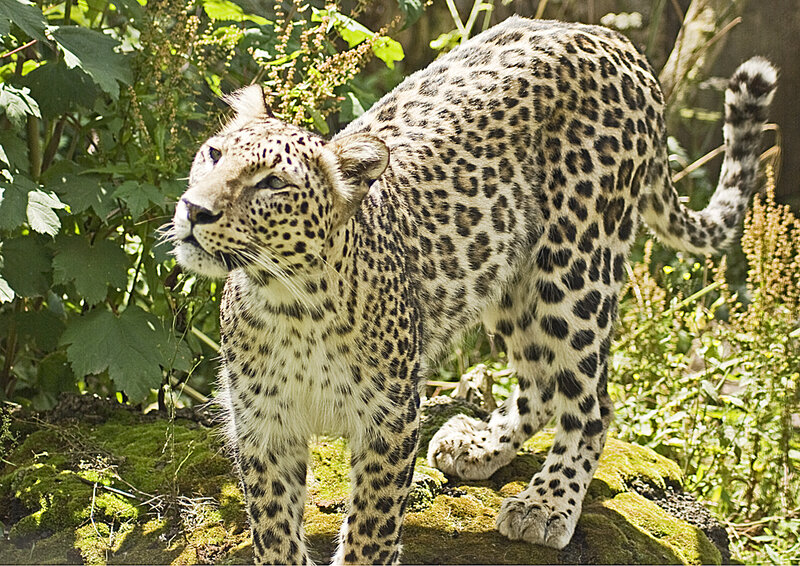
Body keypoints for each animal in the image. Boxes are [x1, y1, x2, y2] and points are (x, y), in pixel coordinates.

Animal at [168, 15, 777, 565]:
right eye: (213, 154)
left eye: (272, 183)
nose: (194, 209)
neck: (289, 302)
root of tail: (612, 38)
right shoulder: (263, 426)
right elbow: (274, 529)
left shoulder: (391, 419)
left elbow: (371, 529)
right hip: (505, 277)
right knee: (541, 380)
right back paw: (477, 445)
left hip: (575, 266)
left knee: (592, 400)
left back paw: (546, 505)